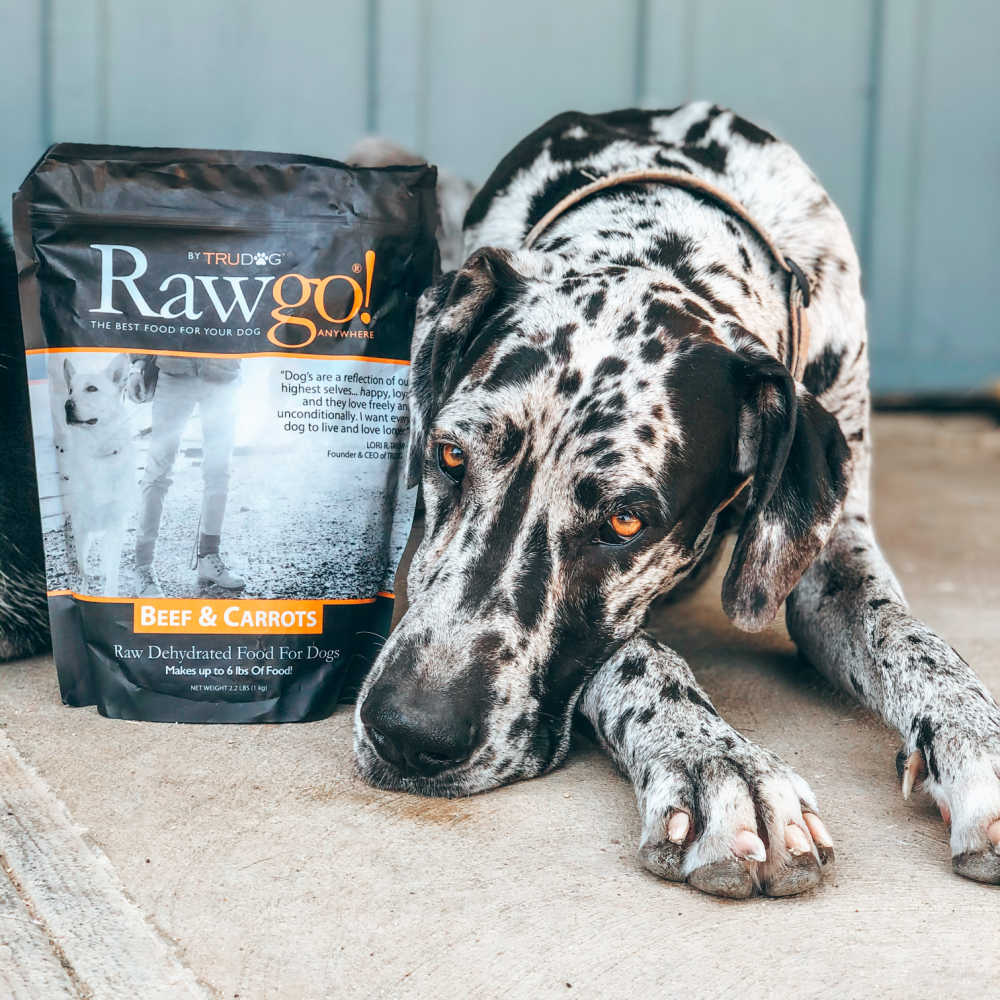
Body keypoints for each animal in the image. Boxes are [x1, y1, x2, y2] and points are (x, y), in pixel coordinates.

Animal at [352, 103, 1000, 900]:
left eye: (625, 522)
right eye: (449, 456)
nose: (409, 732)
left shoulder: (830, 550)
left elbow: (910, 636)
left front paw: (976, 737)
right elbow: (636, 650)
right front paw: (715, 760)